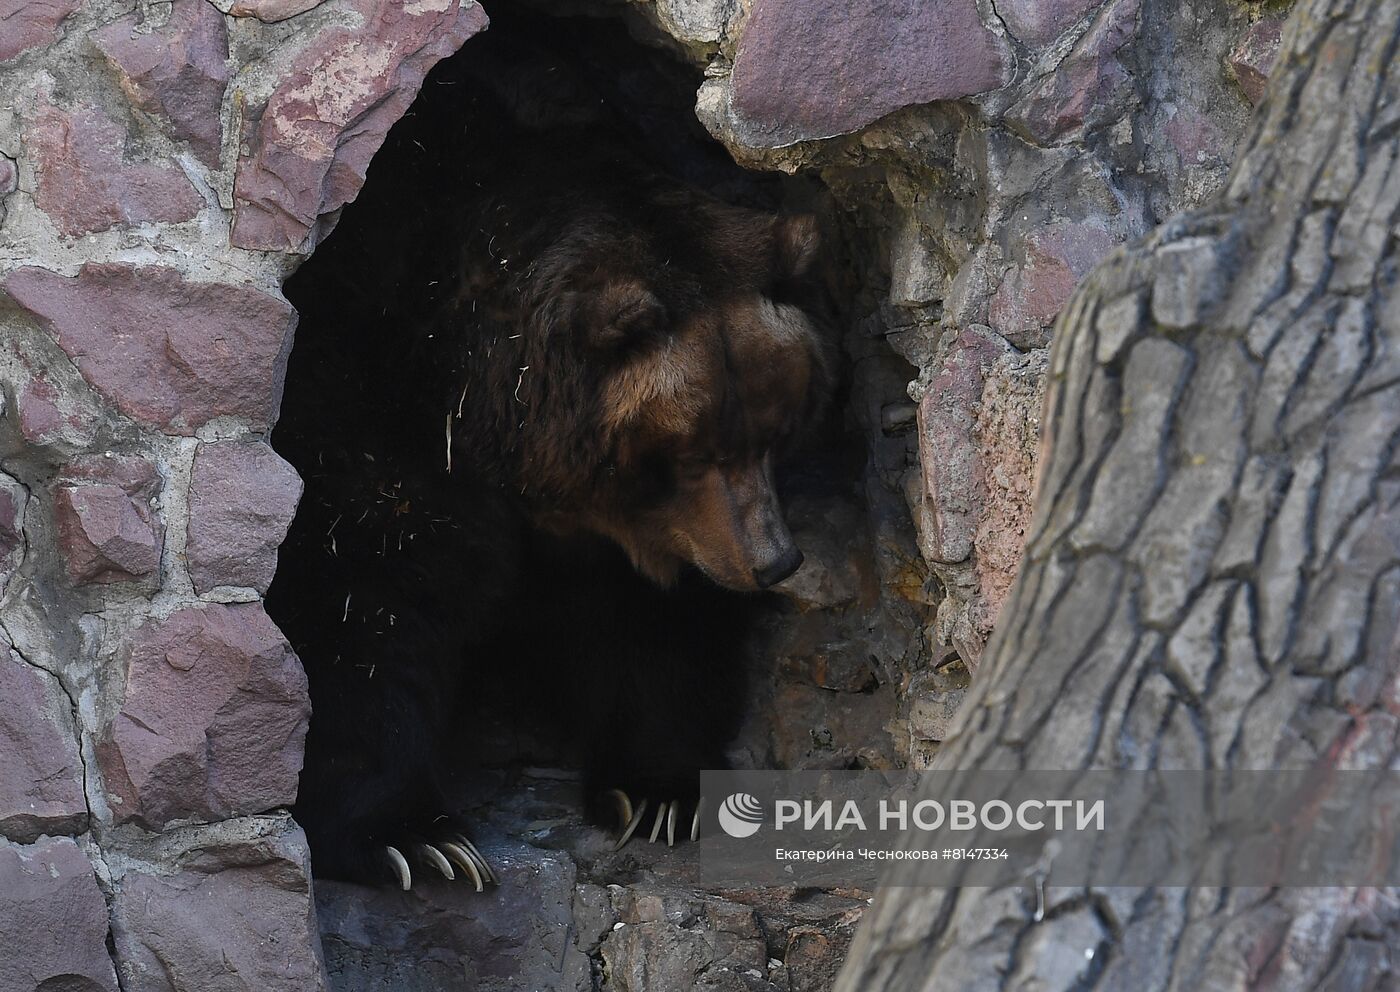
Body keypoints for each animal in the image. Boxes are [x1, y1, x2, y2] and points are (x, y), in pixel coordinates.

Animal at [264, 15, 828, 884]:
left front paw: (659, 790)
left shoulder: (637, 530)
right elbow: (363, 594)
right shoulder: (357, 382)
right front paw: (417, 839)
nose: (773, 561)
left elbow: (649, 622)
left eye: (774, 427)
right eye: (692, 451)